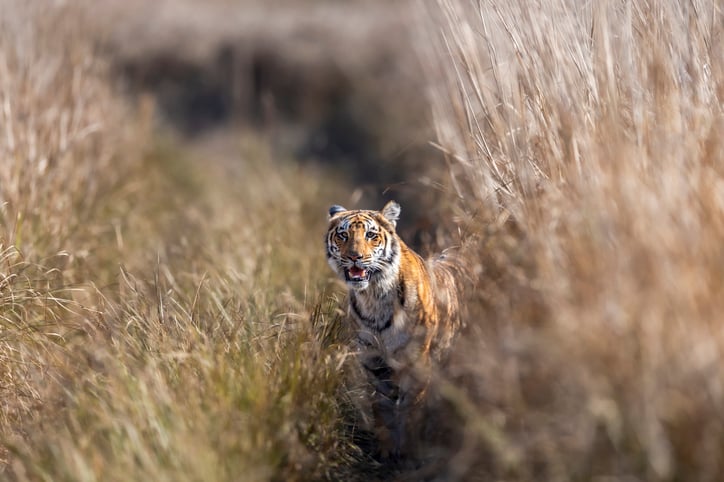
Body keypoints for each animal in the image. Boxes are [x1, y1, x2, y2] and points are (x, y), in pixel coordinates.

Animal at [325, 200, 462, 462]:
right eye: (343, 235)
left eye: (370, 235)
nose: (354, 257)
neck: (373, 297)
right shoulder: (374, 363)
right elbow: (382, 408)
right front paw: (386, 450)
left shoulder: (416, 363)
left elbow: (410, 408)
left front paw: (408, 452)